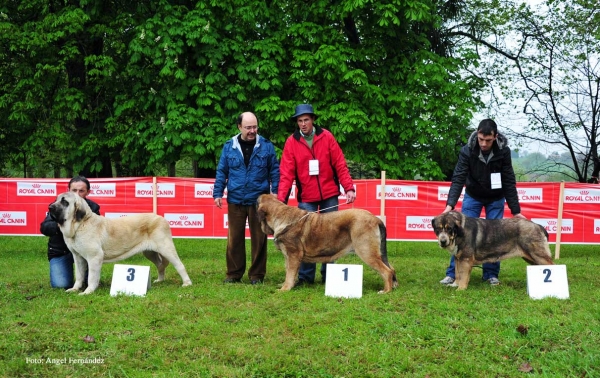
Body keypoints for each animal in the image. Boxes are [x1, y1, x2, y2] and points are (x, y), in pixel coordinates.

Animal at [51, 192, 195, 296]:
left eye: (64, 202)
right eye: (57, 199)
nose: (50, 207)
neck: (80, 224)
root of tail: (161, 218)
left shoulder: (94, 257)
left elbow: (91, 277)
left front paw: (88, 291)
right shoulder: (78, 257)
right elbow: (79, 276)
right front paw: (75, 289)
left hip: (166, 248)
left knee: (179, 265)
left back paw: (187, 283)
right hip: (150, 253)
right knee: (160, 265)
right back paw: (160, 280)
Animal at [255, 193, 396, 294]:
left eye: (257, 202)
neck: (280, 215)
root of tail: (376, 219)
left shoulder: (293, 255)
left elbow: (290, 272)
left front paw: (285, 289)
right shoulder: (288, 256)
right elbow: (289, 271)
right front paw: (287, 284)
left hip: (366, 251)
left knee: (386, 271)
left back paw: (386, 291)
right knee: (391, 268)